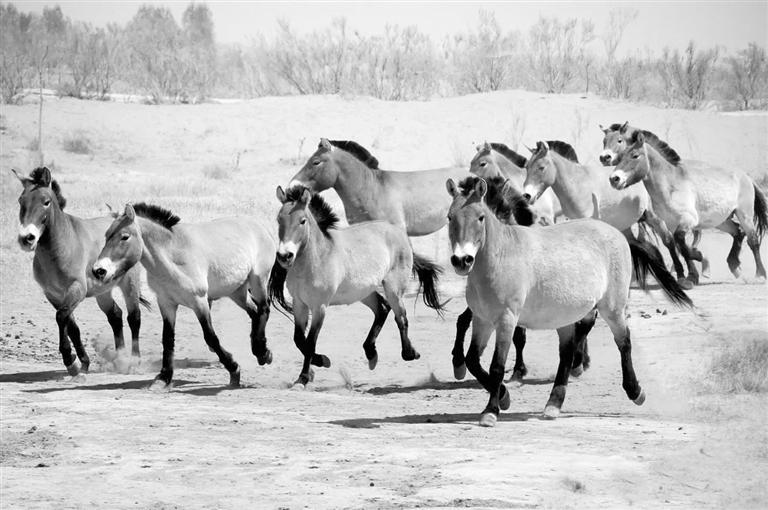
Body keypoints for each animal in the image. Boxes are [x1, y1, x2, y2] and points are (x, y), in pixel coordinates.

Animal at [92, 203, 276, 386]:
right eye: (106, 235)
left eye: (124, 237)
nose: (99, 270)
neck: (174, 257)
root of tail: (260, 227)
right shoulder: (166, 303)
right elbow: (167, 339)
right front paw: (164, 377)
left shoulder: (199, 302)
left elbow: (211, 337)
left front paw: (234, 369)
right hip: (236, 291)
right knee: (254, 312)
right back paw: (261, 351)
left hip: (258, 280)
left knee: (264, 309)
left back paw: (262, 353)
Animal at [270, 185, 444, 388]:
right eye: (279, 219)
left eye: (302, 221)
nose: (285, 255)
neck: (317, 257)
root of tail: (398, 232)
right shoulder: (299, 304)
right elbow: (299, 340)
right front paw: (318, 363)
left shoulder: (319, 307)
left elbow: (311, 341)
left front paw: (305, 376)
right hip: (362, 292)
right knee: (382, 308)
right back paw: (371, 354)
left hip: (393, 288)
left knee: (401, 317)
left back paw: (410, 353)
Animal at [448, 175, 692, 426]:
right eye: (450, 217)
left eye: (481, 217)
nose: (462, 260)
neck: (501, 257)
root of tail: (617, 233)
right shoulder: (483, 319)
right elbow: (472, 360)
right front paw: (504, 397)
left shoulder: (507, 319)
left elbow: (496, 366)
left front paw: (491, 411)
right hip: (565, 317)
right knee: (567, 353)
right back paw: (553, 404)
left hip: (612, 308)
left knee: (623, 342)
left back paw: (635, 392)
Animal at [608, 130, 764, 282]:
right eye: (620, 158)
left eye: (635, 155)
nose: (614, 179)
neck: (671, 187)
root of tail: (745, 176)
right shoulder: (670, 224)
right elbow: (677, 246)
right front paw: (690, 274)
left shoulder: (687, 220)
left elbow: (681, 244)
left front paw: (694, 268)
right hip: (720, 220)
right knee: (738, 232)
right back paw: (735, 266)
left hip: (744, 215)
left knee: (753, 240)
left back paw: (760, 274)